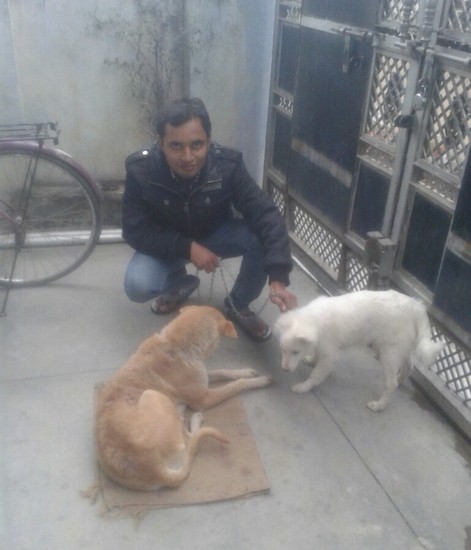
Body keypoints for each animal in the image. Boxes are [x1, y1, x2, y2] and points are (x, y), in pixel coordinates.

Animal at [95, 306, 272, 492]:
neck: (174, 343)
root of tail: (152, 468)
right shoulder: (204, 398)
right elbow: (236, 385)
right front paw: (259, 380)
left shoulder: (203, 380)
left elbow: (222, 371)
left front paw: (246, 371)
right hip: (154, 395)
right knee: (191, 441)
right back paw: (194, 420)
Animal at [274, 292, 444, 412]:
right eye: (282, 350)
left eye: (295, 352)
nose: (284, 370)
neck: (313, 318)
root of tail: (414, 305)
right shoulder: (321, 346)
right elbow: (316, 354)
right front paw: (312, 360)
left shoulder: (331, 356)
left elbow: (316, 375)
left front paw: (303, 387)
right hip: (402, 349)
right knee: (409, 368)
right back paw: (400, 379)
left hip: (389, 354)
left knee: (391, 384)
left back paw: (379, 405)